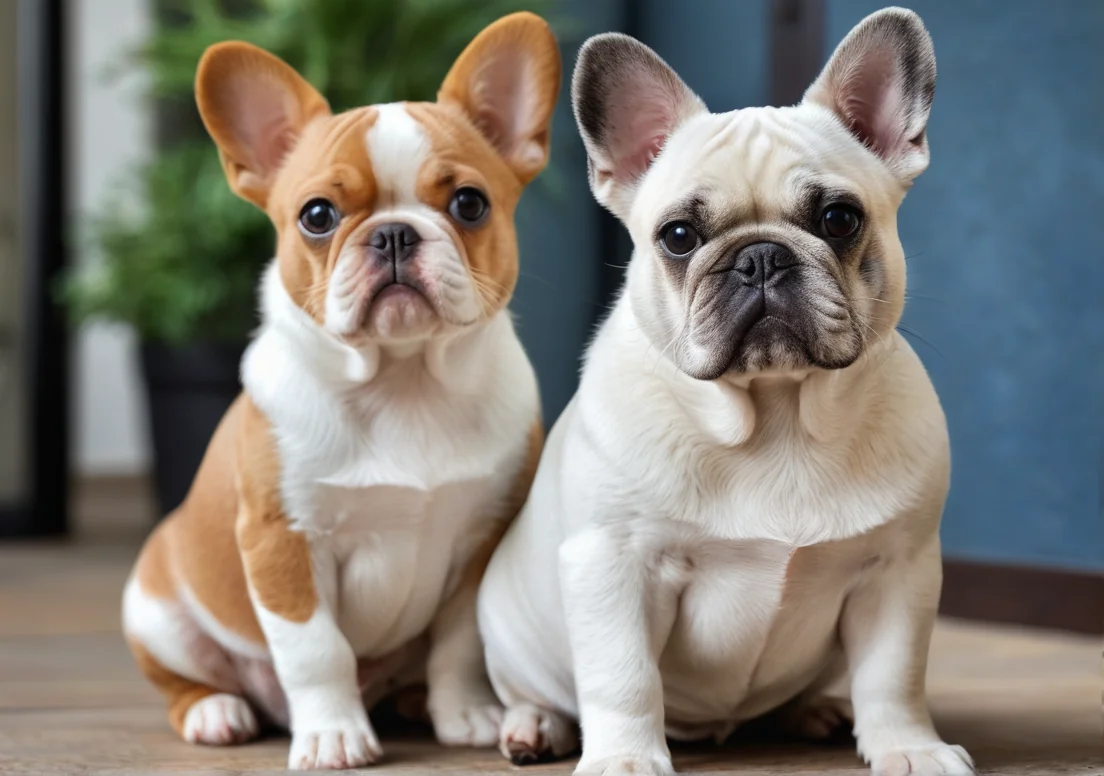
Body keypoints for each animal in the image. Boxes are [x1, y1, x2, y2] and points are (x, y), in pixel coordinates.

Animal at [123, 12, 560, 772]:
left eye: (469, 203)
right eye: (318, 215)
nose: (393, 234)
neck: (403, 380)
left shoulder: (478, 540)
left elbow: (458, 644)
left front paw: (466, 713)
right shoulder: (283, 541)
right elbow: (315, 650)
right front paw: (331, 733)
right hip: (154, 613)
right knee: (186, 680)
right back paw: (217, 711)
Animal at [476, 6, 975, 776]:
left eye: (839, 219)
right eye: (679, 235)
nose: (760, 256)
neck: (778, 412)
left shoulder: (899, 569)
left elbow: (895, 673)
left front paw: (908, 747)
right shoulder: (613, 565)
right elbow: (622, 675)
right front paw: (625, 758)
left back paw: (815, 711)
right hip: (508, 630)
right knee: (533, 689)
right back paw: (534, 728)